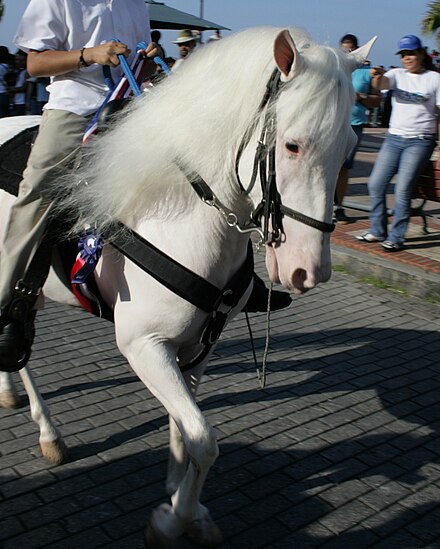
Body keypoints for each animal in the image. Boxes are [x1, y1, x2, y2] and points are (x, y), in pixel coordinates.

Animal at [0, 28, 374, 544]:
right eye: (293, 146)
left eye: (351, 144)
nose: (309, 271)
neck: (179, 215)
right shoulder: (144, 344)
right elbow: (203, 439)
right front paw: (170, 520)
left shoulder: (198, 345)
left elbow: (185, 432)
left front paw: (182, 499)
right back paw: (48, 431)